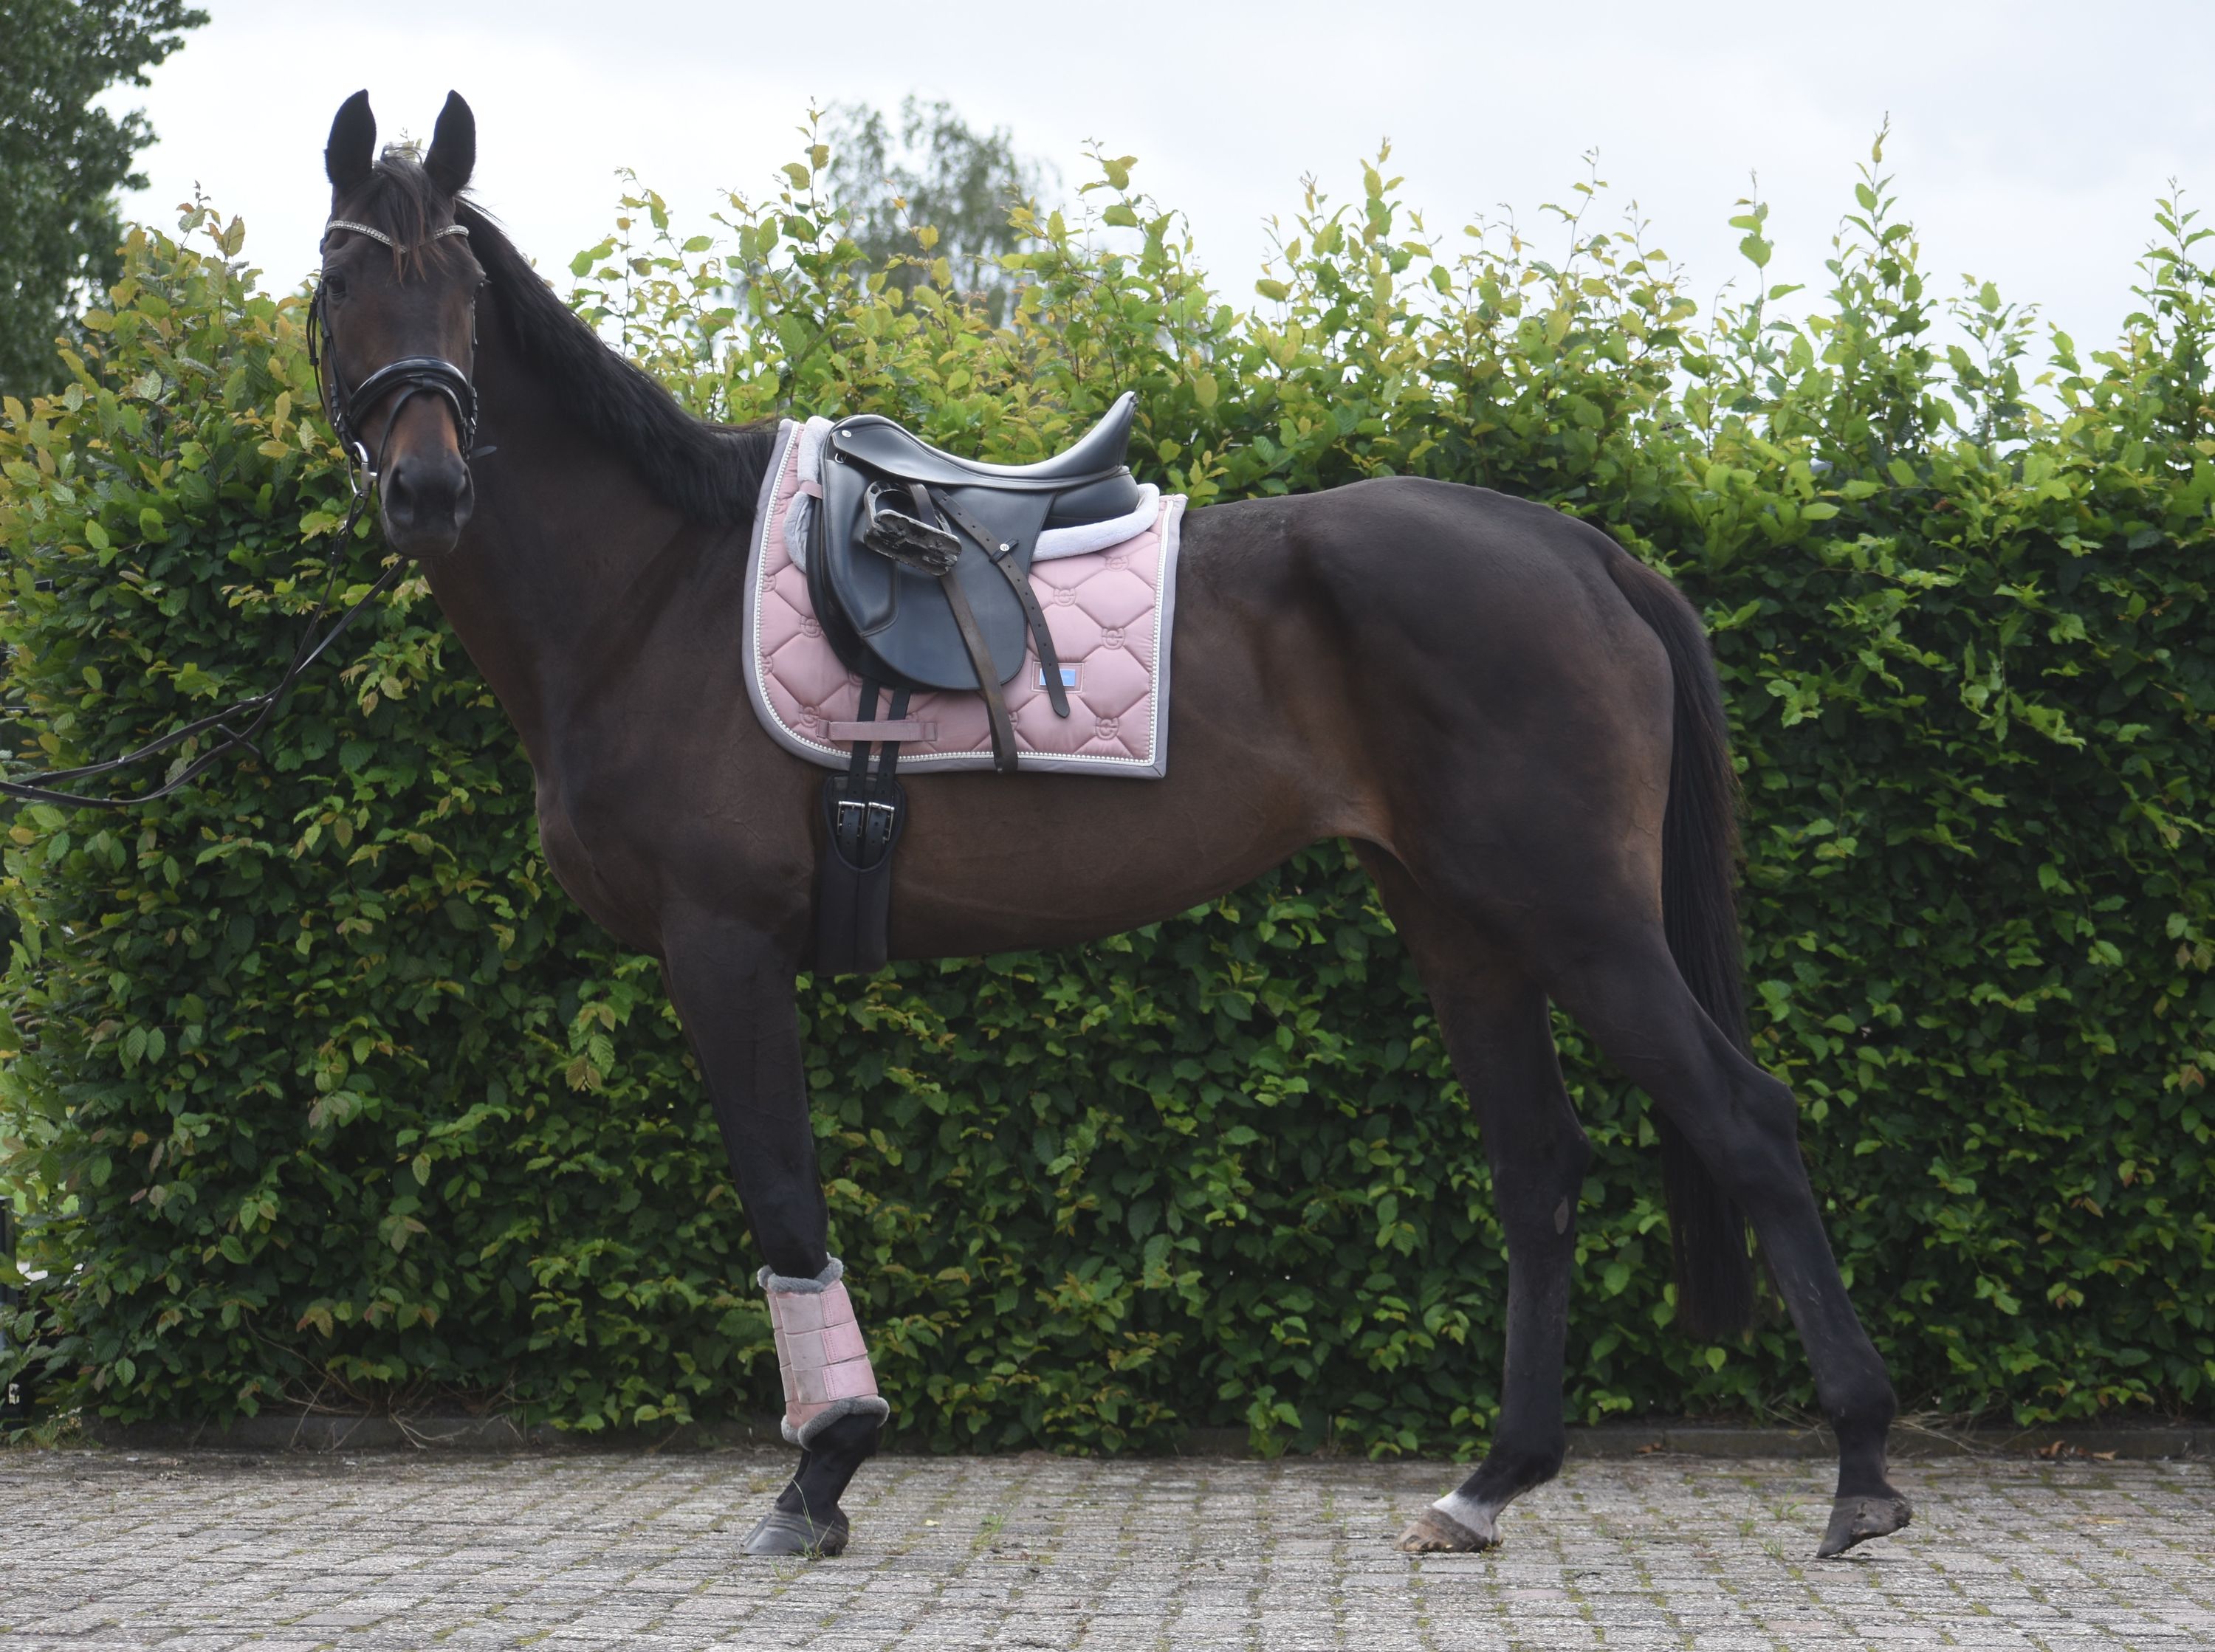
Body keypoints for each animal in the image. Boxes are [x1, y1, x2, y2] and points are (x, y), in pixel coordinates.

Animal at [308, 88, 1911, 1561]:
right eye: (337, 282)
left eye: (464, 285)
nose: (429, 486)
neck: (659, 592)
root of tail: (1586, 552)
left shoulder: (724, 948)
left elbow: (782, 1196)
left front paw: (823, 1466)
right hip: (1462, 923)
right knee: (1540, 1167)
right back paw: (1491, 1481)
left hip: (1581, 919)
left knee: (1748, 1122)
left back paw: (1860, 1469)